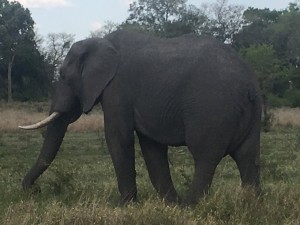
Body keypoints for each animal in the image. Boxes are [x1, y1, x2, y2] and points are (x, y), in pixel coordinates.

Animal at [19, 29, 262, 206]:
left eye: (62, 75)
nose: (34, 190)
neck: (100, 42)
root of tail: (249, 84)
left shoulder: (117, 89)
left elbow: (118, 138)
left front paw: (123, 207)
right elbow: (151, 147)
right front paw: (168, 205)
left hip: (211, 109)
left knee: (205, 156)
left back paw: (190, 207)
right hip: (250, 112)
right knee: (248, 156)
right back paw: (251, 206)